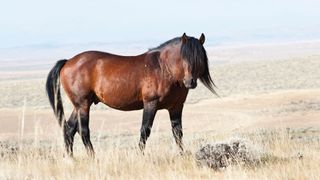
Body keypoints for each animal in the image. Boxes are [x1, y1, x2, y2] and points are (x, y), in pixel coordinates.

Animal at [45, 33, 218, 157]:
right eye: (184, 57)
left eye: (199, 58)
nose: (190, 82)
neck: (164, 69)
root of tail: (68, 62)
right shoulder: (150, 104)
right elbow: (145, 130)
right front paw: (140, 155)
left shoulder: (176, 107)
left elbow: (178, 132)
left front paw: (182, 155)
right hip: (83, 105)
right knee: (83, 131)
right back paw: (93, 158)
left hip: (79, 105)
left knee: (69, 130)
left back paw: (71, 158)